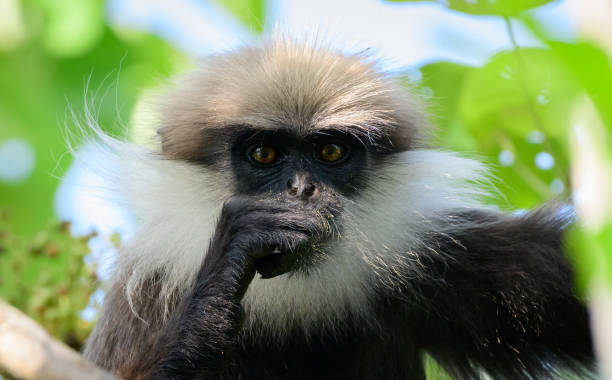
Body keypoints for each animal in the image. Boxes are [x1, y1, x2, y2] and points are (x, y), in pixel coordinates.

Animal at [81, 39, 592, 380]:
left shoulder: (445, 253)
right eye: (264, 154)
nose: (301, 189)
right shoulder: (146, 293)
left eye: (330, 152)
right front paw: (231, 262)